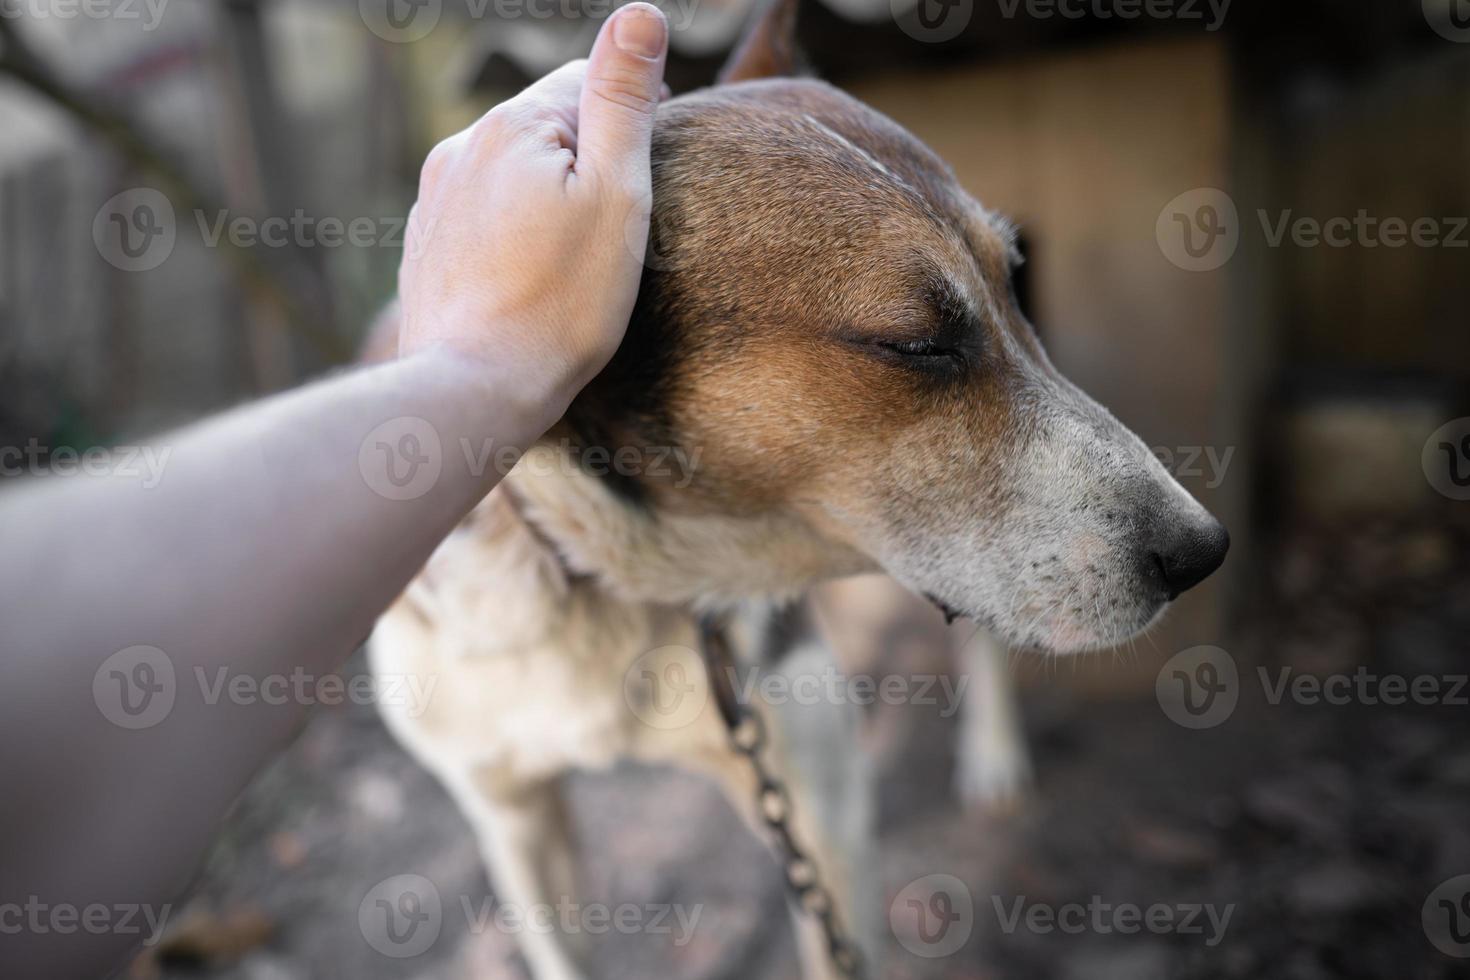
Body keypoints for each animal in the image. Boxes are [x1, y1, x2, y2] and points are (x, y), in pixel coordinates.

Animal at [367, 3, 1228, 975]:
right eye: (914, 343)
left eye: (1013, 283)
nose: (1204, 550)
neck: (620, 579)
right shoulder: (512, 817)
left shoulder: (821, 815)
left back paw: (993, 753)